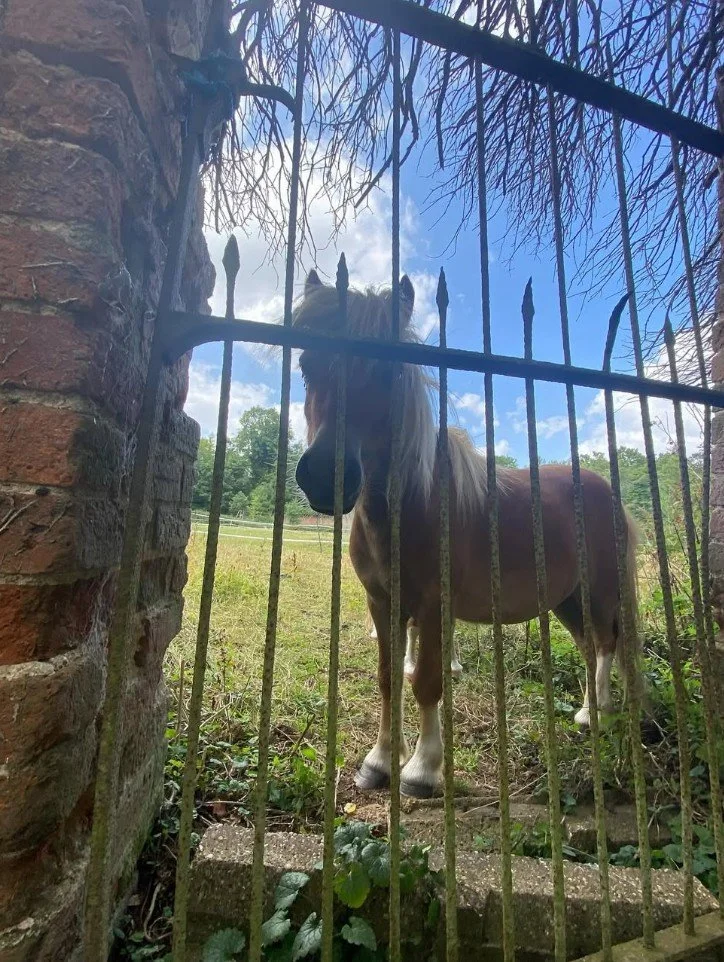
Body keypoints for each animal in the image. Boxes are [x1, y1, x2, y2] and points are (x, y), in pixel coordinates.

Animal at [293, 270, 640, 798]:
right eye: (305, 363)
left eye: (390, 373)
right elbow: (388, 678)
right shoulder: (383, 603)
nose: (324, 477)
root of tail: (605, 489)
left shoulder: (435, 606)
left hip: (599, 589)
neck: (409, 507)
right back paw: (586, 710)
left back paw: (596, 714)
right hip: (566, 598)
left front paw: (422, 769)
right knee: (588, 644)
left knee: (603, 642)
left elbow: (427, 682)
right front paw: (379, 760)